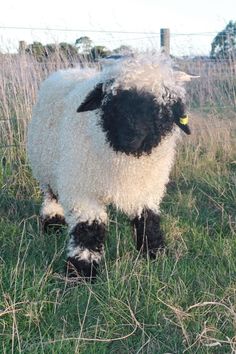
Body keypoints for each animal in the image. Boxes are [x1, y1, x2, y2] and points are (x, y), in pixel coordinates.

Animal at [27, 52, 194, 280]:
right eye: (114, 102)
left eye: (161, 108)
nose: (131, 138)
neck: (125, 162)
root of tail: (71, 70)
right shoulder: (83, 190)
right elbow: (89, 229)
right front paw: (81, 271)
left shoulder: (147, 189)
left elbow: (148, 220)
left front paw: (154, 253)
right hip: (47, 167)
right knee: (51, 196)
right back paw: (52, 224)